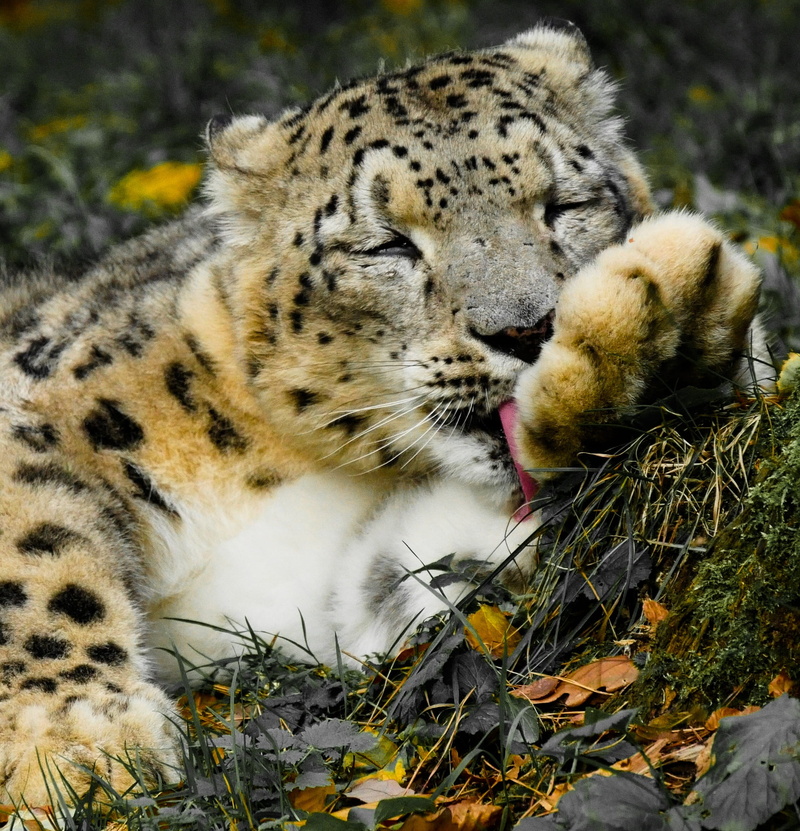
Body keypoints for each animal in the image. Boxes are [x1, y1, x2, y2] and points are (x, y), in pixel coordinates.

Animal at [0, 20, 770, 815]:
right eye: (388, 243)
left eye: (562, 203)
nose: (527, 329)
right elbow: (36, 552)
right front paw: (74, 747)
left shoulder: (324, 592)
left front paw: (652, 336)